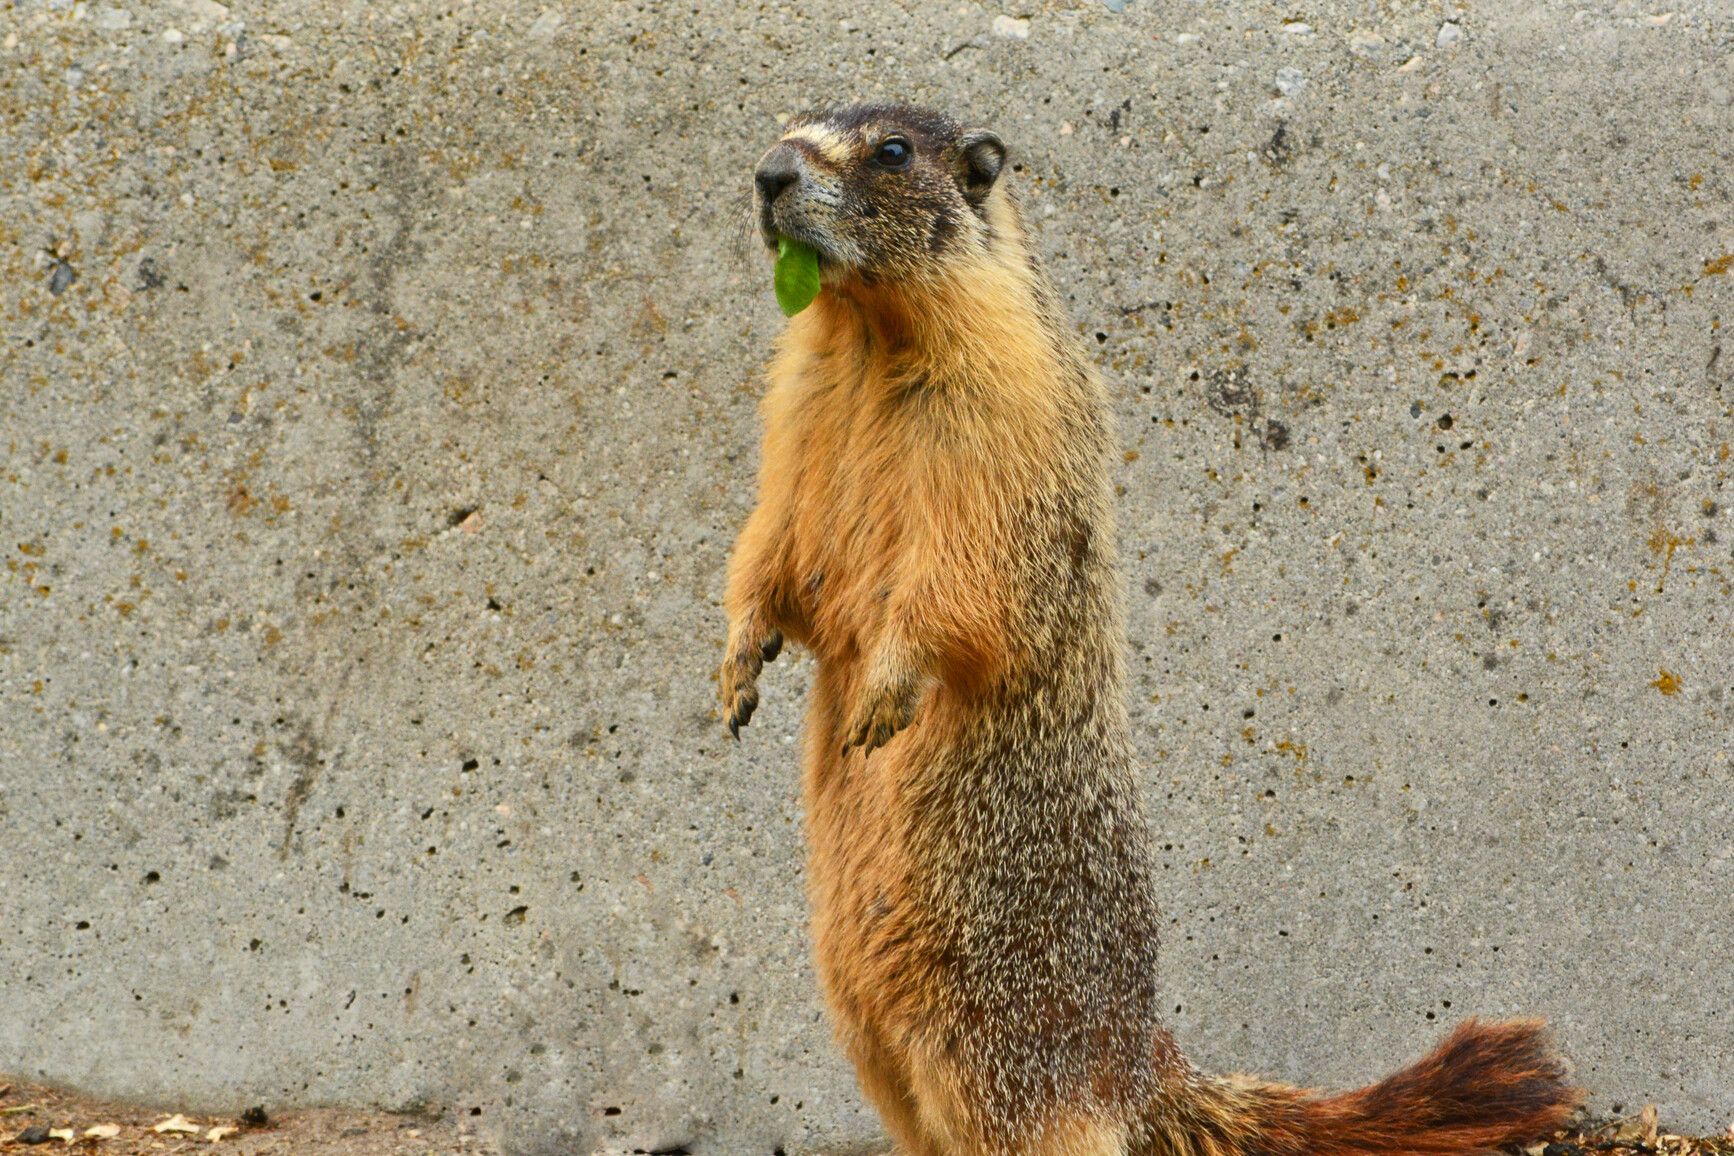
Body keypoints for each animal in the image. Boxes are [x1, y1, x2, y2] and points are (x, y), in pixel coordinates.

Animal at [720, 101, 1580, 1156]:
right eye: (787, 123)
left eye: (891, 152)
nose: (768, 174)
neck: (868, 334)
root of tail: (1139, 1066)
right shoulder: (799, 405)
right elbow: (773, 534)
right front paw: (737, 665)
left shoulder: (1002, 409)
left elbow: (965, 568)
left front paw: (883, 693)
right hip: (866, 1030)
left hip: (996, 1046)